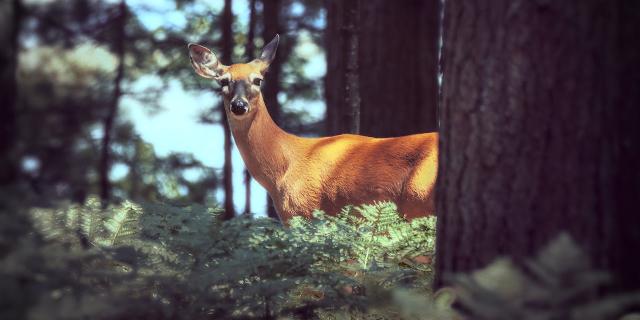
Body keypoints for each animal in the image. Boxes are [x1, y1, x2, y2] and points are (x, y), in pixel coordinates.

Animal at [188, 33, 438, 221]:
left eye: (258, 79)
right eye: (223, 81)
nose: (239, 105)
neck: (283, 169)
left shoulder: (305, 210)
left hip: (419, 200)